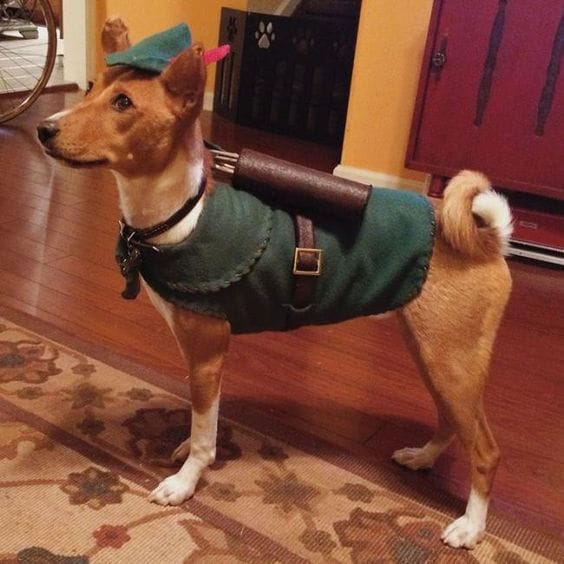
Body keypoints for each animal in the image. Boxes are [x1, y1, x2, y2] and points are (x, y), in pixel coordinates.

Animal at [36, 18, 512, 549]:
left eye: (123, 104)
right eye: (93, 88)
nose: (44, 128)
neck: (181, 215)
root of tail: (486, 236)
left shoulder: (208, 353)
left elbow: (206, 433)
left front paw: (185, 481)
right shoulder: (199, 354)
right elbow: (203, 422)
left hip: (452, 360)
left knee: (486, 451)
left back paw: (471, 526)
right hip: (432, 352)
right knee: (453, 423)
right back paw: (423, 457)